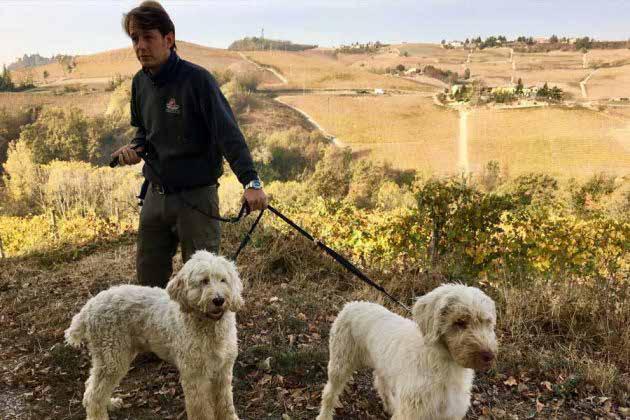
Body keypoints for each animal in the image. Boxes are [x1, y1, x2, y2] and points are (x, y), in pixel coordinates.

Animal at [65, 251, 244, 418]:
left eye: (223, 280)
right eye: (204, 281)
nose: (219, 300)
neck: (209, 326)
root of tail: (89, 307)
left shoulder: (223, 372)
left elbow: (226, 404)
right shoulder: (194, 376)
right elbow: (201, 411)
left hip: (109, 358)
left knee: (91, 385)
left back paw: (110, 403)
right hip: (112, 358)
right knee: (94, 395)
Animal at [318, 284, 502, 418]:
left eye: (487, 322)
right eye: (460, 322)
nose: (489, 356)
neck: (444, 363)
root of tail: (351, 304)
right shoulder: (413, 410)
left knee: (380, 382)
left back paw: (390, 406)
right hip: (340, 364)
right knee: (329, 393)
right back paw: (324, 416)